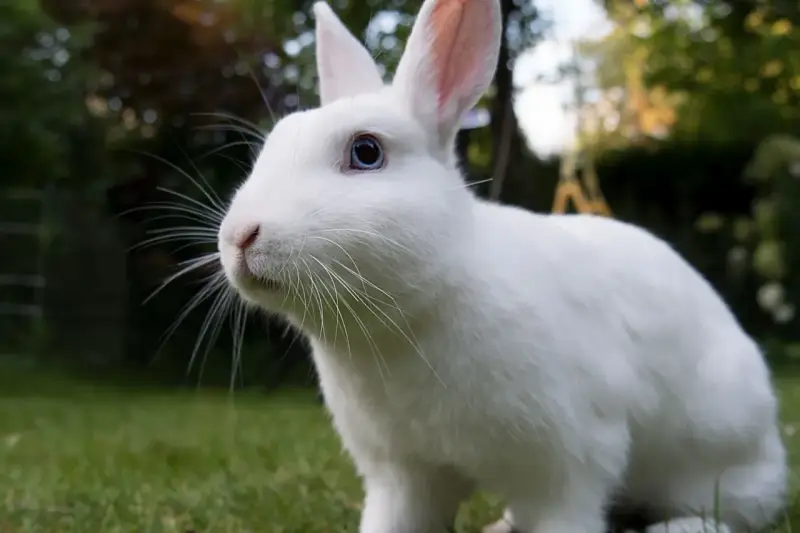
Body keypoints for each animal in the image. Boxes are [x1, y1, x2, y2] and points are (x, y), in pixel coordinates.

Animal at [215, 0, 788, 532]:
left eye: (367, 151)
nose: (240, 236)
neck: (407, 320)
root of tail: (771, 453)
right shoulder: (402, 475)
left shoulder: (570, 462)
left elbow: (566, 513)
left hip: (715, 449)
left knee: (735, 511)